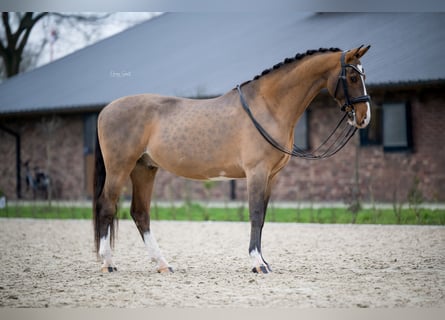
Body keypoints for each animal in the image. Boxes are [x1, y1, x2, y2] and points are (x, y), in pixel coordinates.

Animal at [93, 45, 372, 274]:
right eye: (352, 77)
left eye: (363, 75)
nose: (364, 117)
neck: (268, 106)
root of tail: (106, 109)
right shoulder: (256, 172)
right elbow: (256, 214)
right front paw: (258, 264)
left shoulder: (271, 176)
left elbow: (263, 217)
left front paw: (264, 261)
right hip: (120, 168)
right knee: (107, 206)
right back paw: (108, 263)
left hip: (144, 169)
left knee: (140, 213)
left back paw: (163, 264)